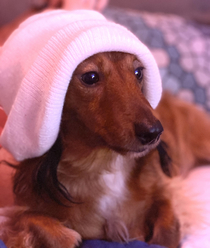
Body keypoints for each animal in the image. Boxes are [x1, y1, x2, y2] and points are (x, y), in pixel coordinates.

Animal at [0, 50, 210, 248]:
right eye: (90, 77)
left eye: (138, 72)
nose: (154, 133)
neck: (103, 163)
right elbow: (30, 219)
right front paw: (68, 237)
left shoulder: (165, 188)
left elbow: (167, 224)